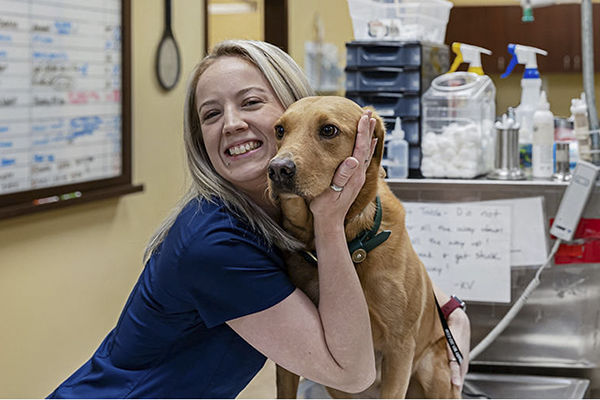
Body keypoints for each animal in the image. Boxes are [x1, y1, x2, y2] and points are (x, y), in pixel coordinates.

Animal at [268, 95, 460, 398]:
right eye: (279, 130)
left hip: (435, 371)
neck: (348, 246)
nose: (277, 169)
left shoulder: (400, 348)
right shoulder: (290, 355)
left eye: (328, 130)